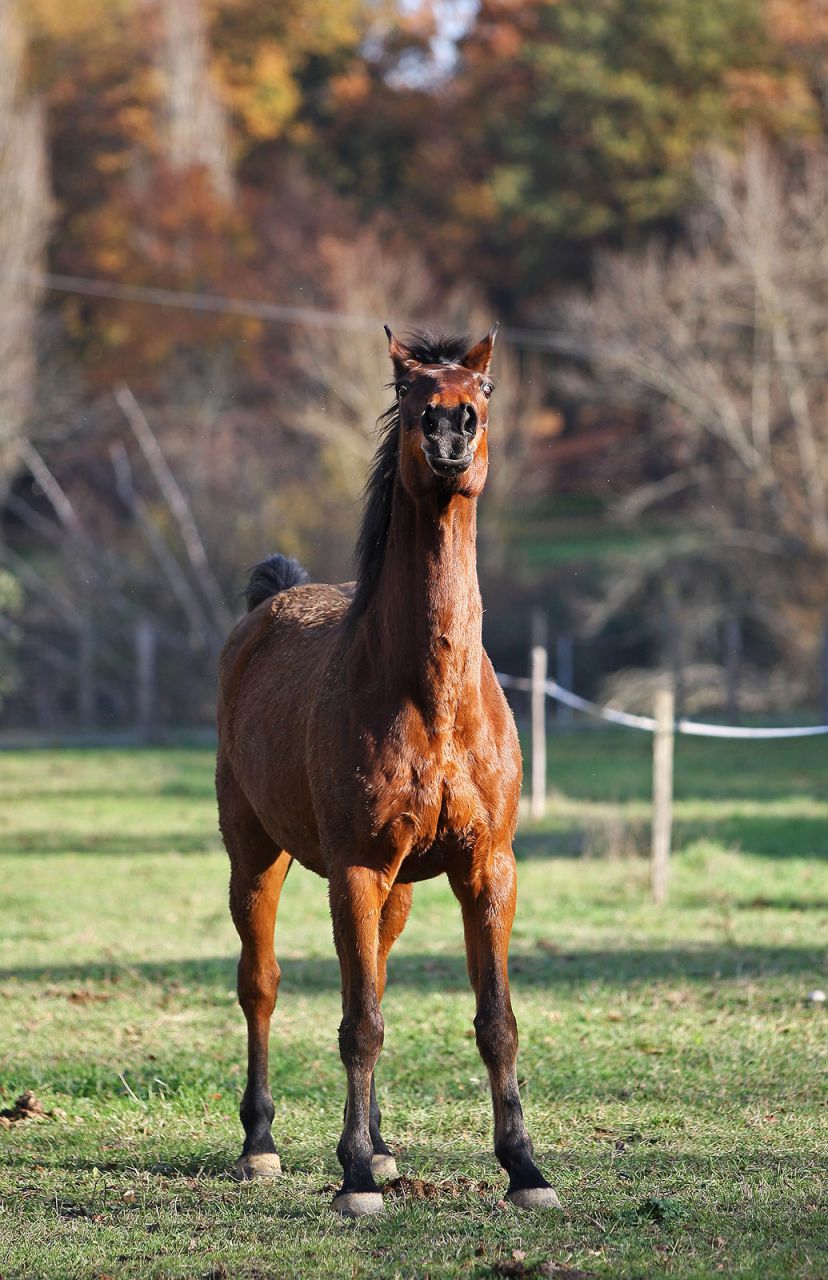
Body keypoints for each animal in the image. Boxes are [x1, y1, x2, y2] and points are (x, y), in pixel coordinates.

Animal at [215, 326, 560, 1217]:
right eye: (408, 390)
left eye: (484, 387)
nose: (450, 431)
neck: (428, 697)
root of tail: (270, 605)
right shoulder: (358, 869)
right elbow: (359, 1023)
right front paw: (356, 1181)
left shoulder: (487, 867)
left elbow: (494, 1020)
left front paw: (525, 1168)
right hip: (254, 858)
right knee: (260, 983)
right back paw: (262, 1144)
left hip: (398, 888)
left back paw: (382, 1141)